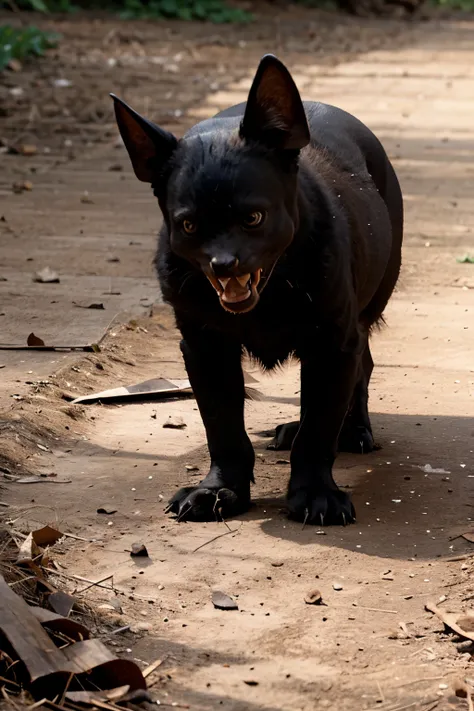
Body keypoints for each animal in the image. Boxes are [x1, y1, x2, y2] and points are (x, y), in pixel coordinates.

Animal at [112, 54, 404, 524]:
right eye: (188, 225)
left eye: (253, 218)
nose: (224, 263)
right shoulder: (205, 348)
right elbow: (223, 426)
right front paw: (219, 489)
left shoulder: (333, 343)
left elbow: (318, 428)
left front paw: (316, 493)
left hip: (366, 310)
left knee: (362, 367)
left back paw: (354, 429)